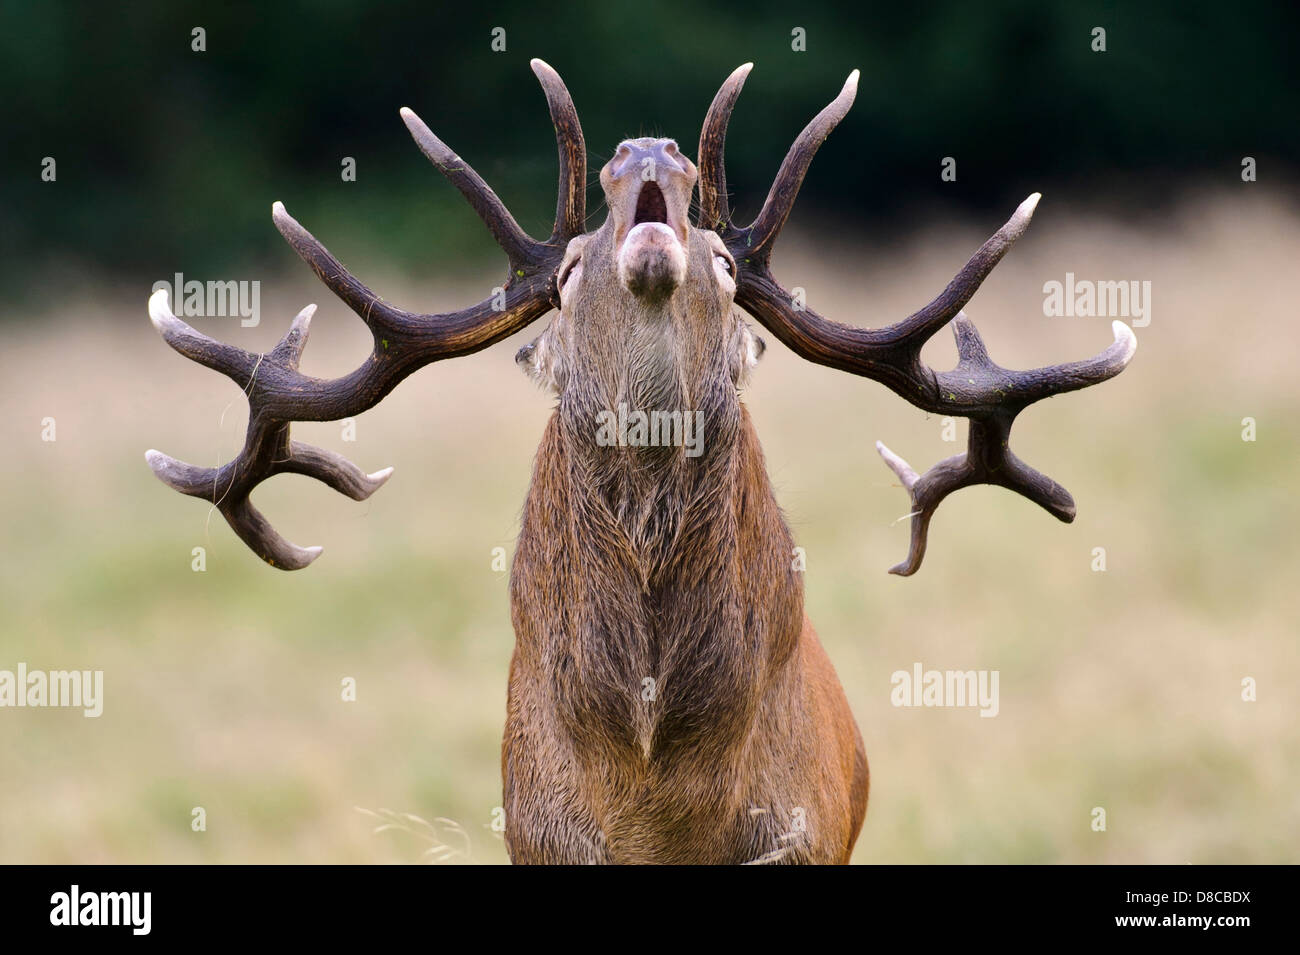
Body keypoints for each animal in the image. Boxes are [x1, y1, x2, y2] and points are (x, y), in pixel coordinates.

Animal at [147, 59, 1133, 867]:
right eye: (568, 268)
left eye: (729, 263)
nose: (651, 151)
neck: (655, 773)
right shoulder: (543, 832)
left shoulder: (802, 830)